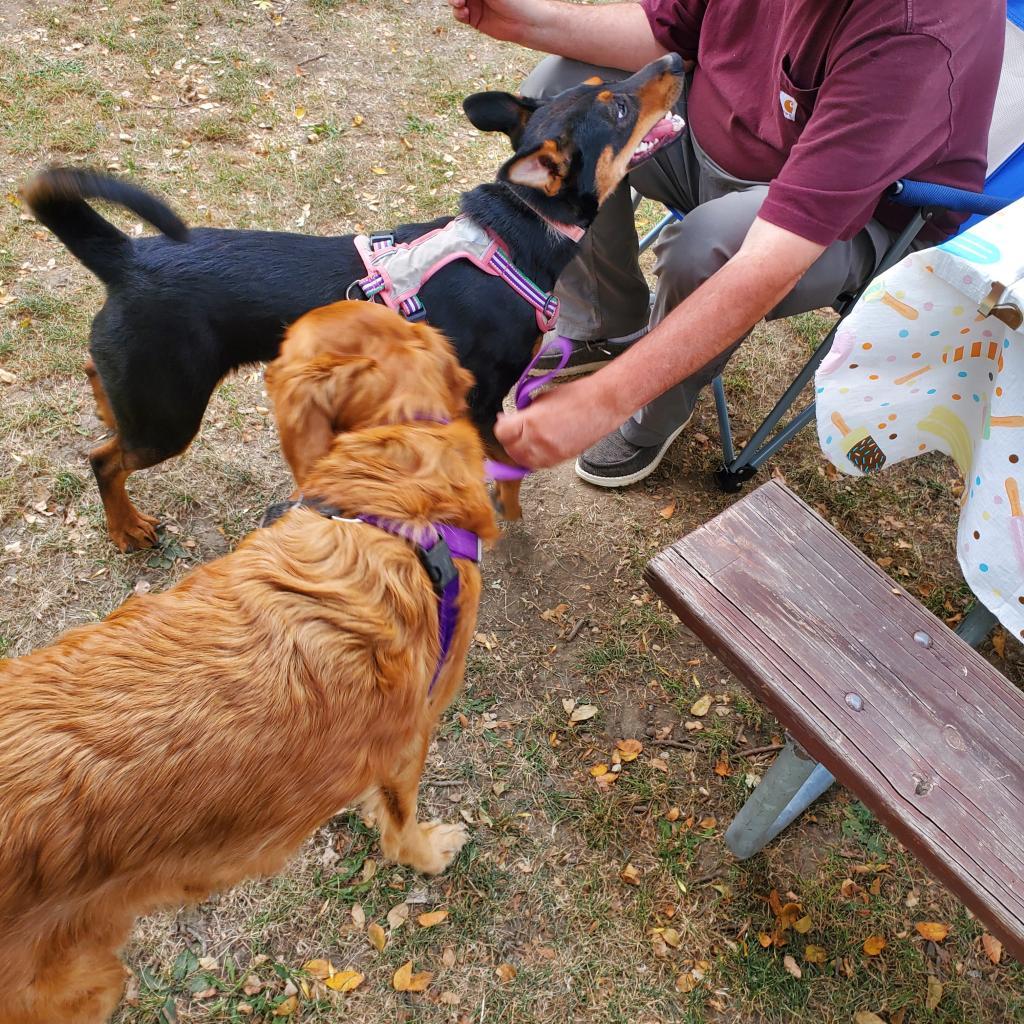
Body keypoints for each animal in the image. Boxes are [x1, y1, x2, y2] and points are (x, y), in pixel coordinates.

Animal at [19, 56, 684, 552]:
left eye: (602, 88)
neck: (513, 232)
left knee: (97, 384)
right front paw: (506, 517)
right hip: (170, 417)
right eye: (617, 108)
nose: (674, 59)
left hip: (149, 392)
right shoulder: (484, 401)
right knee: (104, 460)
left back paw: (103, 411)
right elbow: (508, 472)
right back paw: (126, 527)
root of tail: (125, 256)